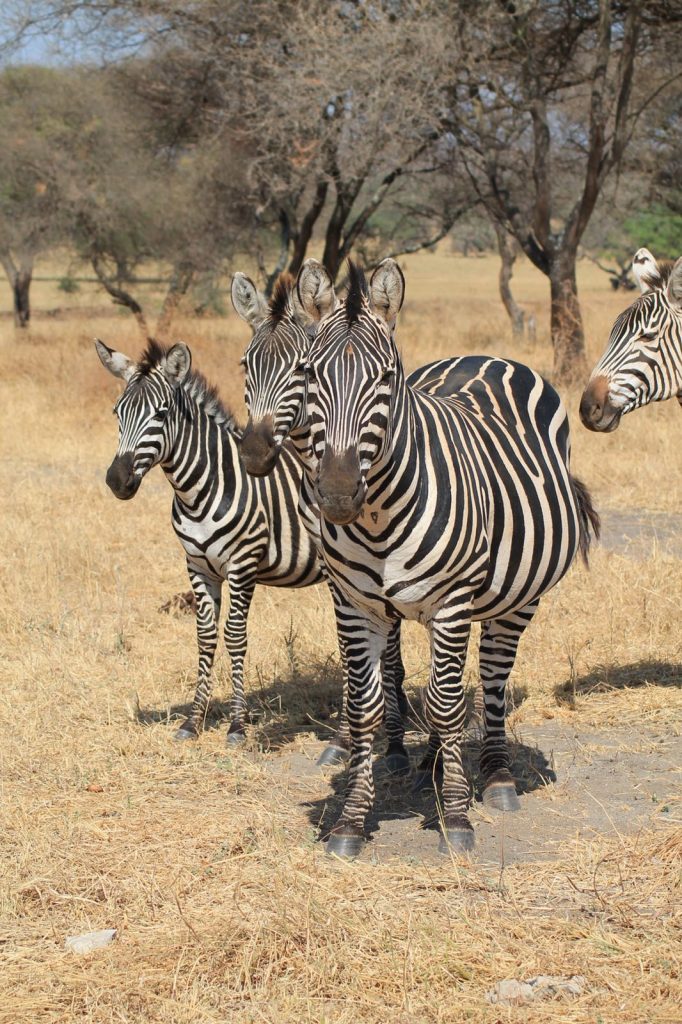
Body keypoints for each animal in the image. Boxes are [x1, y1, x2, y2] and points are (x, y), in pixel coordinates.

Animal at [294, 256, 598, 856]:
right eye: (311, 375)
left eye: (386, 379)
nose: (337, 493)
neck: (378, 519)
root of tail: (488, 357)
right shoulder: (353, 603)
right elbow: (368, 707)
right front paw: (350, 821)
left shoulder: (454, 600)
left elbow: (450, 701)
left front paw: (456, 818)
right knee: (445, 684)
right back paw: (432, 763)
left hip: (515, 599)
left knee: (490, 678)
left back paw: (496, 777)